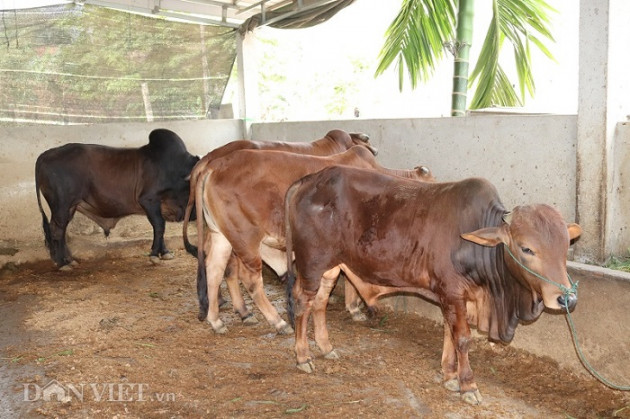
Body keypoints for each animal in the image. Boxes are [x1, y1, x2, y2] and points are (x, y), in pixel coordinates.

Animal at [34, 128, 200, 270]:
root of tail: (45, 154)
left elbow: (160, 229)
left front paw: (164, 252)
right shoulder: (149, 200)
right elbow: (159, 226)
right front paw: (154, 255)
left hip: (70, 207)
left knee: (61, 231)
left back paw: (69, 260)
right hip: (61, 205)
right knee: (56, 231)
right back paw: (62, 263)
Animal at [190, 146, 432, 336]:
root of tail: (215, 166)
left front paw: (353, 308)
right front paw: (355, 309)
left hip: (221, 235)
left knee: (214, 269)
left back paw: (217, 320)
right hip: (246, 240)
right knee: (250, 279)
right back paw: (278, 322)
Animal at [286, 166, 584, 406]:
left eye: (565, 246)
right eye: (526, 248)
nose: (566, 299)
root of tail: (311, 179)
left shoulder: (453, 297)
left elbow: (449, 334)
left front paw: (450, 376)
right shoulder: (452, 292)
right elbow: (462, 338)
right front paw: (468, 386)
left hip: (330, 268)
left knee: (320, 302)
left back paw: (326, 348)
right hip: (311, 265)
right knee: (302, 302)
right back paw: (303, 357)